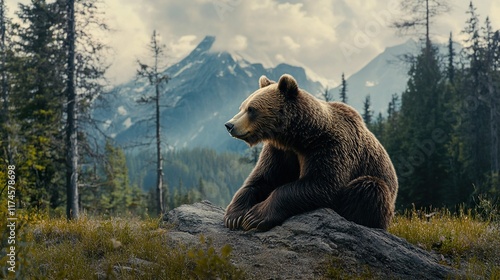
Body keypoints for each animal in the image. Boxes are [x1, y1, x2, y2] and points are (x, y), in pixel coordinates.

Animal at [223, 73, 398, 231]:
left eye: (251, 109)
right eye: (242, 107)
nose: (229, 125)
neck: (300, 137)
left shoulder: (330, 147)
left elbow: (322, 184)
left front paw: (255, 217)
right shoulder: (280, 152)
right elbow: (263, 178)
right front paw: (235, 215)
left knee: (370, 188)